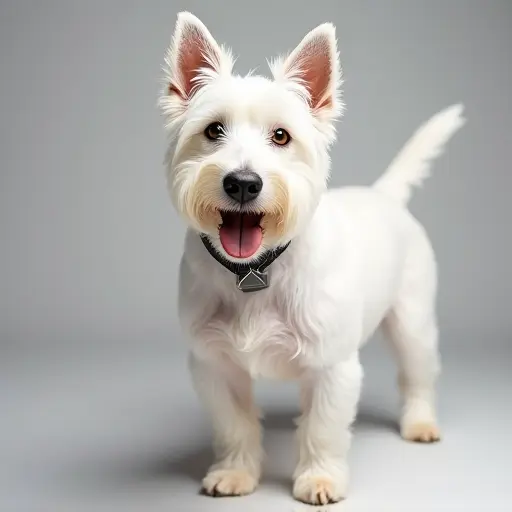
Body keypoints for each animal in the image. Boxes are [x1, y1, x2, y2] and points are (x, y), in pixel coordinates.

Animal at [158, 11, 466, 504]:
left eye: (281, 136)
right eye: (213, 131)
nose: (243, 183)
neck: (256, 270)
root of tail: (383, 195)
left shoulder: (332, 366)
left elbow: (323, 429)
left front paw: (320, 479)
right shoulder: (213, 365)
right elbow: (234, 425)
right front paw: (236, 473)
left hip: (413, 323)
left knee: (418, 374)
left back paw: (420, 422)